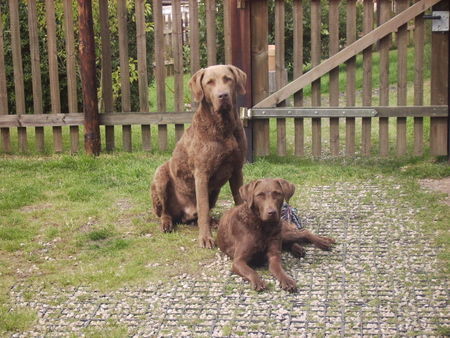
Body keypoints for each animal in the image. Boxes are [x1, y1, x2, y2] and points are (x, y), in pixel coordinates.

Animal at [153, 64, 248, 247]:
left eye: (228, 79)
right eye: (209, 82)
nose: (222, 95)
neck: (223, 128)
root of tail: (185, 214)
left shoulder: (237, 169)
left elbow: (240, 200)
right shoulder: (201, 174)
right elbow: (203, 208)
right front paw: (206, 238)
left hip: (215, 191)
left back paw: (214, 221)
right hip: (160, 175)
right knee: (166, 212)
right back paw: (167, 223)